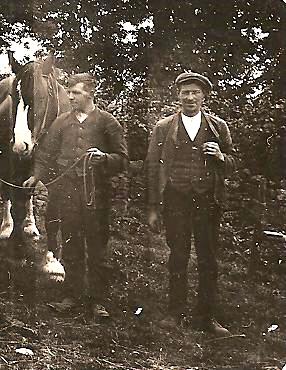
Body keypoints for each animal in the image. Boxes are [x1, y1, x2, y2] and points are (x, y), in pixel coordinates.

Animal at [0, 52, 70, 254]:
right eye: (12, 96)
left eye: (41, 97)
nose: (20, 146)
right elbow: (14, 201)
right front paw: (16, 240)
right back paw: (6, 226)